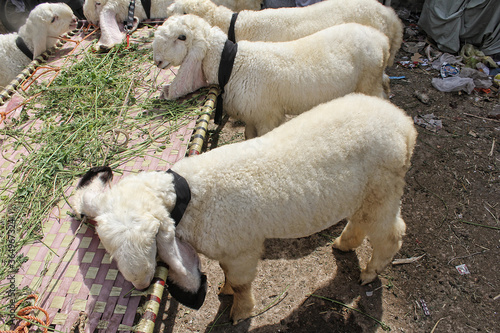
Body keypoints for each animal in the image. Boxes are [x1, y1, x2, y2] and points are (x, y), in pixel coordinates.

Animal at [73, 92, 418, 322]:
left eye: (148, 244)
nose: (140, 284)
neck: (194, 196)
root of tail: (406, 126)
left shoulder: (241, 250)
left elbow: (240, 284)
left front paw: (239, 312)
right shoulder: (229, 252)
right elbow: (228, 277)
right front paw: (224, 291)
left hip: (383, 190)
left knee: (391, 233)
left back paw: (370, 273)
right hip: (366, 192)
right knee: (360, 222)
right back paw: (343, 244)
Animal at [152, 14, 390, 137]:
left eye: (181, 37)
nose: (156, 61)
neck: (233, 64)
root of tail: (381, 40)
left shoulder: (268, 116)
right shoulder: (252, 116)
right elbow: (248, 137)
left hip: (369, 83)